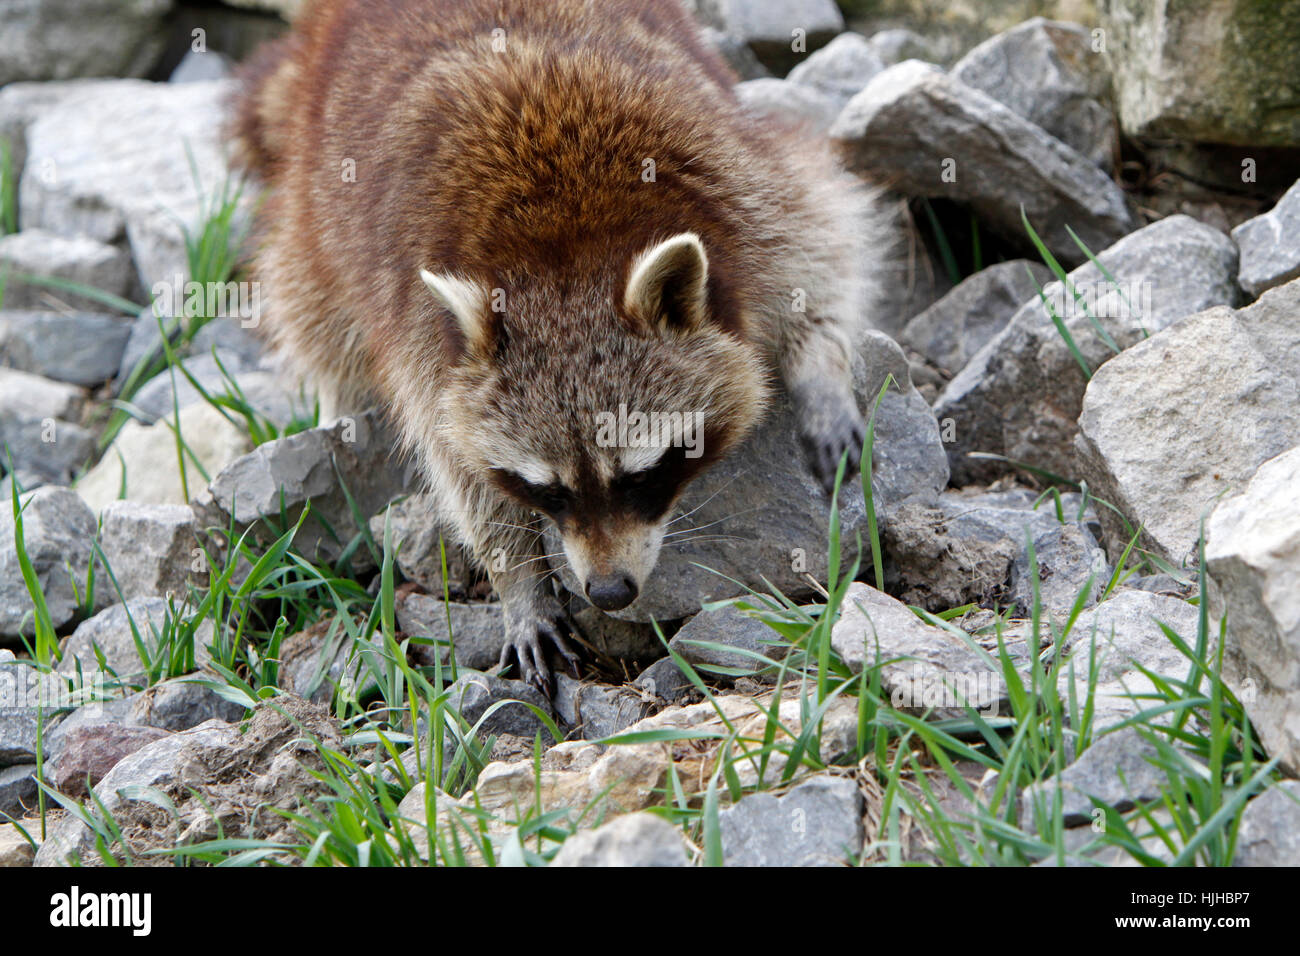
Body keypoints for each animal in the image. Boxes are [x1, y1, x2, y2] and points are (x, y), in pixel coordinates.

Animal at [232, 0, 888, 693]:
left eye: (641, 474)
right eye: (549, 492)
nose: (608, 592)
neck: (563, 251)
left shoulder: (740, 188)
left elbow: (818, 246)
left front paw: (821, 368)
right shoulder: (420, 328)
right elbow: (457, 464)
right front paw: (517, 579)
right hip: (317, 200)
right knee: (310, 301)